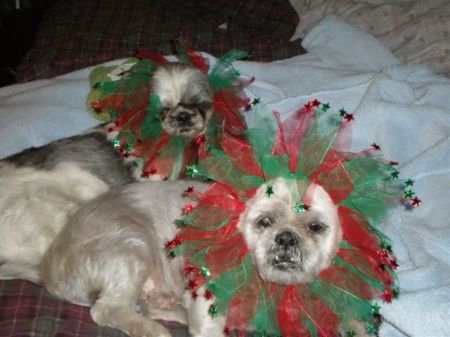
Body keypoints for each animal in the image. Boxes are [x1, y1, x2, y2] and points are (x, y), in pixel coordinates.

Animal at [32, 176, 342, 336]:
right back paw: (154, 331)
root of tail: (48, 268)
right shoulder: (208, 303)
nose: (286, 237)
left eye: (316, 227)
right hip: (130, 246)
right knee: (107, 309)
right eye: (264, 221)